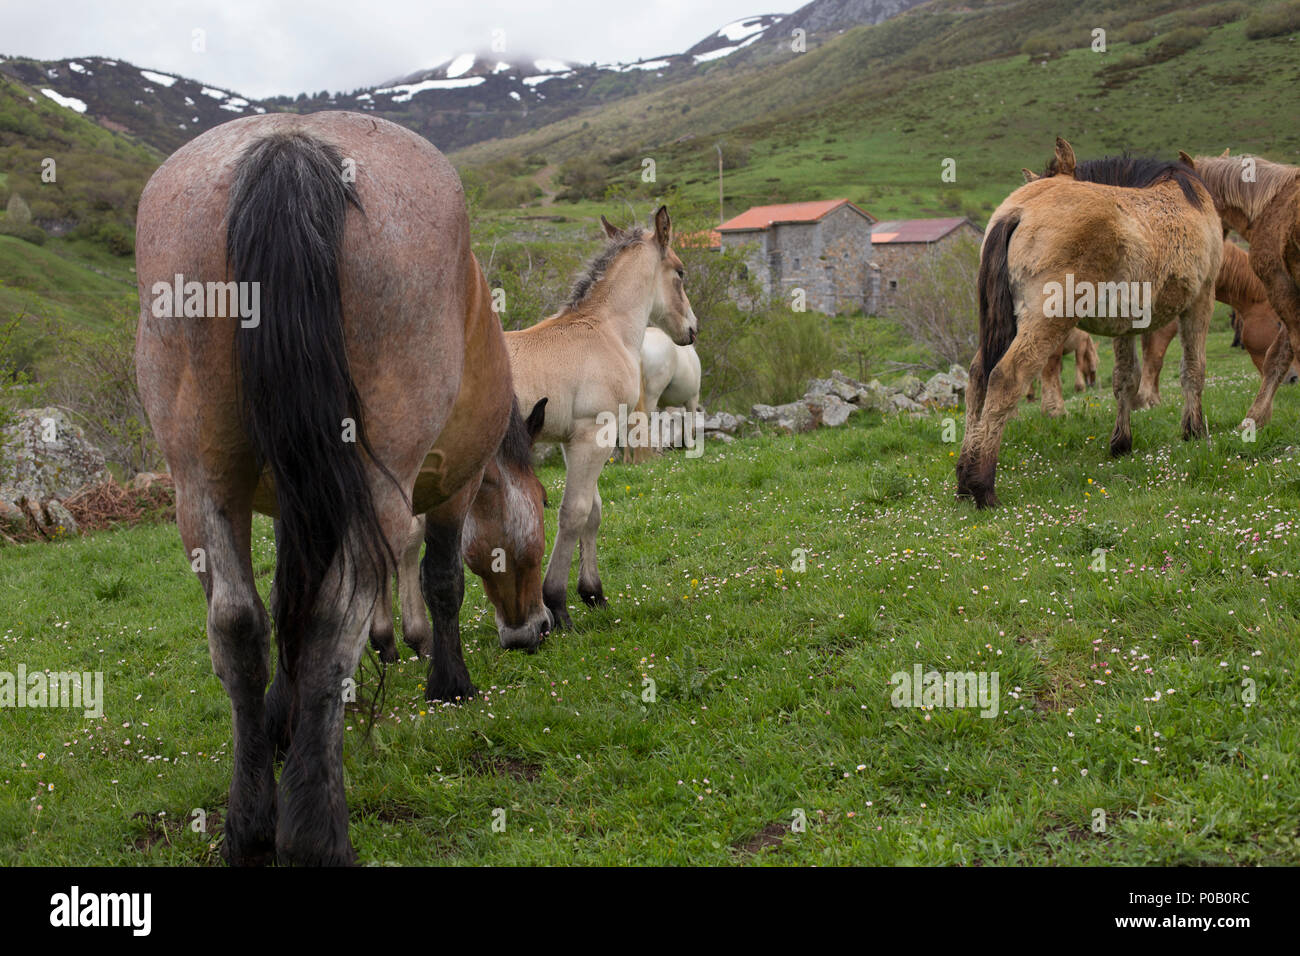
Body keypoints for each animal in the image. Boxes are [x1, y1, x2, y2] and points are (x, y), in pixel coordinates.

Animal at [135, 112, 545, 866]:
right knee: (332, 621)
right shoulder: (453, 488)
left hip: (202, 481)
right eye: (545, 505)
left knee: (238, 623)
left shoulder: (300, 500)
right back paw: (315, 833)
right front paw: (450, 682)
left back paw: (251, 825)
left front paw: (287, 713)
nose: (534, 629)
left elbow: (289, 600)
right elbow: (442, 580)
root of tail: (291, 146)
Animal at [622, 325, 702, 464]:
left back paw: (628, 459)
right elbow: (689, 424)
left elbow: (662, 426)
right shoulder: (692, 399)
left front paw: (659, 451)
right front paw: (691, 447)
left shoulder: (662, 406)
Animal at [959, 138, 1222, 508]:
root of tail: (1017, 211)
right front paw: (1194, 431)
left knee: (978, 378)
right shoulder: (1201, 302)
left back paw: (964, 480)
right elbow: (1193, 369)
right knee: (1005, 378)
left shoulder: (1125, 325)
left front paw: (1121, 443)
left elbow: (1125, 378)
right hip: (1044, 323)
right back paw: (982, 486)